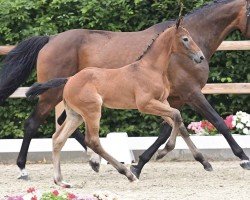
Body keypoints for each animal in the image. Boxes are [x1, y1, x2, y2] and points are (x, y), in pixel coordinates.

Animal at [26, 21, 205, 187]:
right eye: (185, 39)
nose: (201, 57)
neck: (150, 69)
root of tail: (69, 79)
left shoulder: (162, 101)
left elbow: (178, 121)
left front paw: (201, 161)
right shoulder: (146, 104)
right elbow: (176, 114)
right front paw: (163, 152)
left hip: (75, 115)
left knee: (58, 139)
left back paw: (60, 180)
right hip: (92, 111)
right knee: (92, 141)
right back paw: (127, 173)